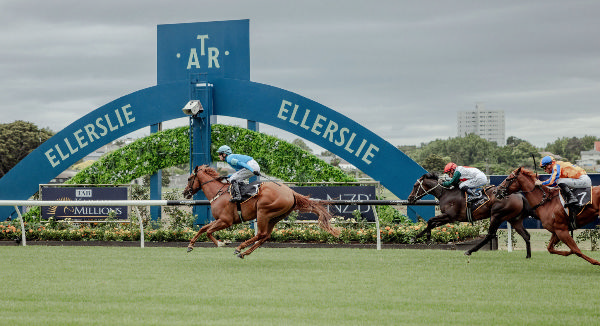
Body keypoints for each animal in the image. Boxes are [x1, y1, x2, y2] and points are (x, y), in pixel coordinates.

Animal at [180, 164, 340, 258]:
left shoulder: (226, 221)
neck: (218, 192)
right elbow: (203, 229)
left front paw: (222, 243)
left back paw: (240, 248)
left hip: (263, 212)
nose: (185, 193)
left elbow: (208, 231)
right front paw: (190, 246)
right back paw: (244, 253)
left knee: (261, 234)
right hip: (274, 217)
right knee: (265, 236)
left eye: (189, 178)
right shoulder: (219, 220)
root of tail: (291, 192)